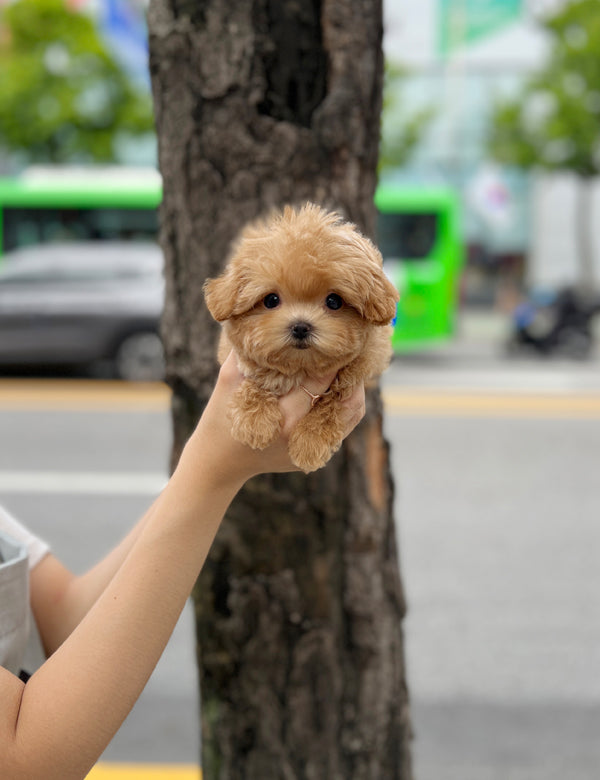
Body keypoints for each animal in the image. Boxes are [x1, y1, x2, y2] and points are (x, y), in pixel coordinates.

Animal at [205, 203, 398, 470]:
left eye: (334, 301)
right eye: (271, 300)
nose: (300, 327)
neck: (300, 368)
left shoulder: (355, 373)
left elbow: (330, 404)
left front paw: (310, 442)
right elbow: (256, 376)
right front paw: (254, 421)